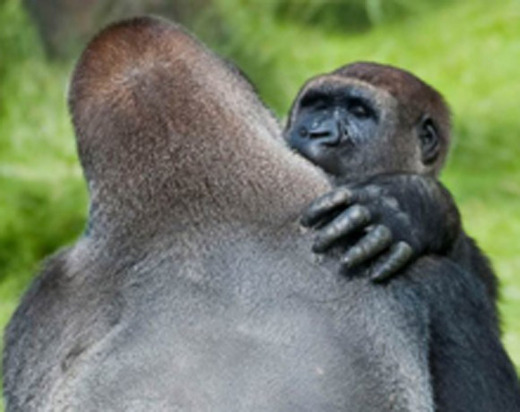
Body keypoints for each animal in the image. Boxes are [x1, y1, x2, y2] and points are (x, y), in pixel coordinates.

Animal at [4, 16, 520, 412]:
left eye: (357, 112)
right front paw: (412, 206)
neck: (199, 195)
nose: (318, 134)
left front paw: (407, 207)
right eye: (314, 106)